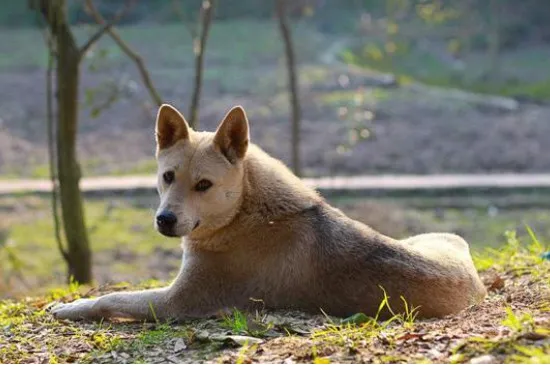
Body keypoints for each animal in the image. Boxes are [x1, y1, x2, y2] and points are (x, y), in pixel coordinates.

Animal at [51, 103, 488, 322]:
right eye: (167, 176)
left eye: (203, 185)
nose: (165, 220)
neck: (244, 212)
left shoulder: (177, 303)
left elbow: (111, 299)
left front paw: (68, 308)